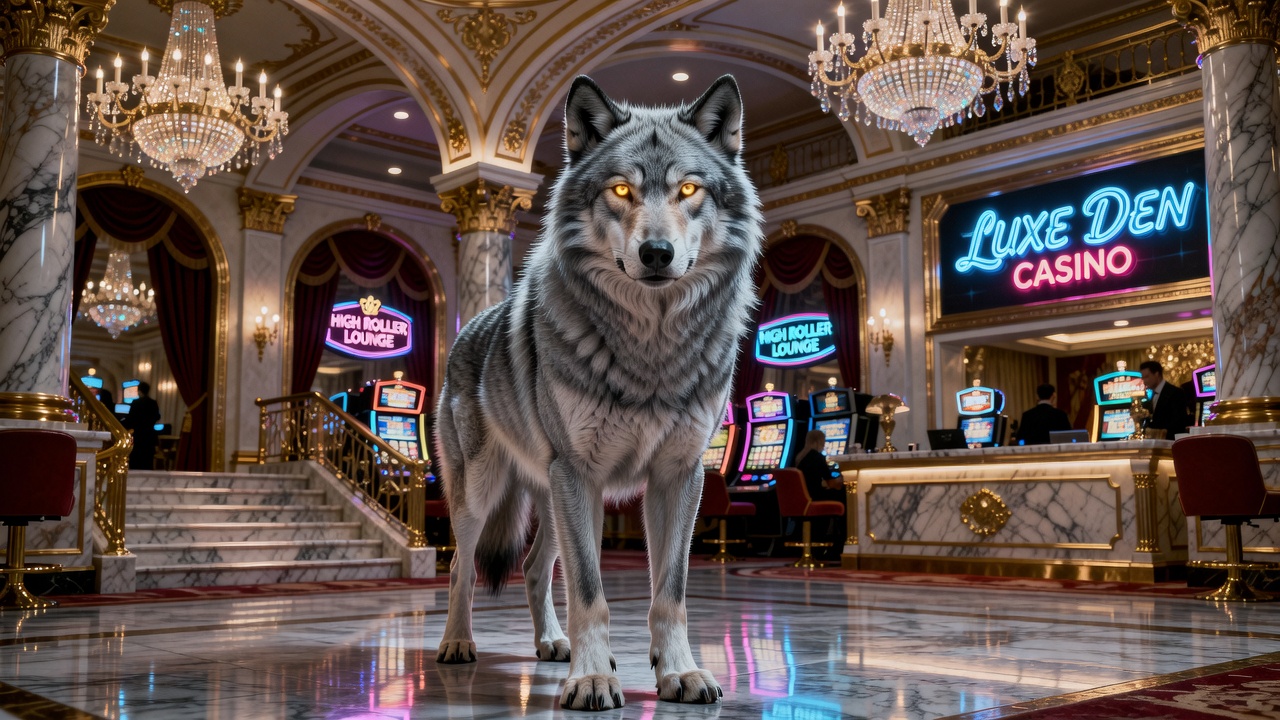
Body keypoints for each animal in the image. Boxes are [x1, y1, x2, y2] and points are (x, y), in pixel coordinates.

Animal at [433, 74, 762, 711]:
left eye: (688, 188)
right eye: (621, 190)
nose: (656, 254)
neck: (651, 350)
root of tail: (470, 323)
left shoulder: (678, 476)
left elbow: (669, 592)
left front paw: (677, 671)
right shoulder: (580, 474)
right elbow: (591, 591)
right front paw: (590, 680)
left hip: (552, 495)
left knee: (535, 569)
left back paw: (552, 645)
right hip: (485, 495)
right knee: (461, 566)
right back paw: (458, 644)